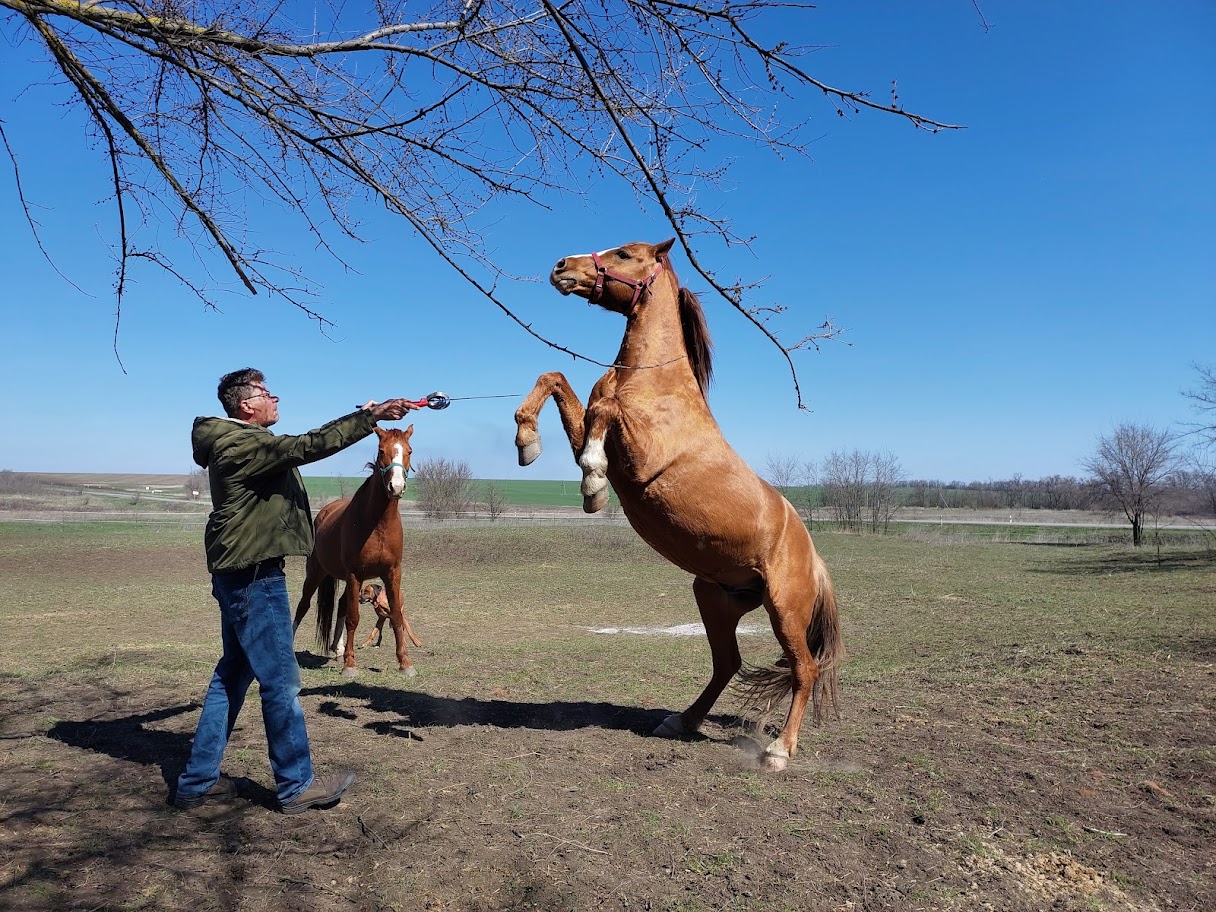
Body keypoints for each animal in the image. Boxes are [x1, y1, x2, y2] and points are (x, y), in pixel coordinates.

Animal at [293, 428, 423, 680]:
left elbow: (396, 616)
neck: (378, 523)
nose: (396, 487)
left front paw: (405, 663)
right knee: (303, 606)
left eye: (409, 451)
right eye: (381, 450)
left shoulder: (392, 574)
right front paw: (350, 665)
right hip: (315, 573)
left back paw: (338, 649)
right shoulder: (355, 575)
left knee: (342, 604)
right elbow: (354, 618)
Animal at [508, 237, 841, 773]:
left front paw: (592, 483)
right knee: (728, 663)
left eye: (624, 254)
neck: (652, 383)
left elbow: (604, 414)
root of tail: (814, 559)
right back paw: (682, 721)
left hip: (785, 610)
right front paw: (528, 442)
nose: (561, 267)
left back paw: (777, 751)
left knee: (804, 669)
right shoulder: (592, 427)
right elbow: (555, 378)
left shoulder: (640, 460)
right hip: (714, 598)